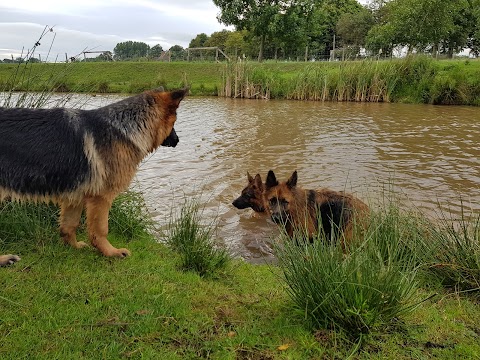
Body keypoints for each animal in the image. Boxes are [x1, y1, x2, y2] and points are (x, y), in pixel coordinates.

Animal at [0, 87, 188, 262]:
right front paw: (111, 252)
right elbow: (100, 229)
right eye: (174, 121)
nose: (178, 140)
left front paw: (73, 246)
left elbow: (69, 225)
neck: (125, 127)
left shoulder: (75, 194)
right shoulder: (101, 197)